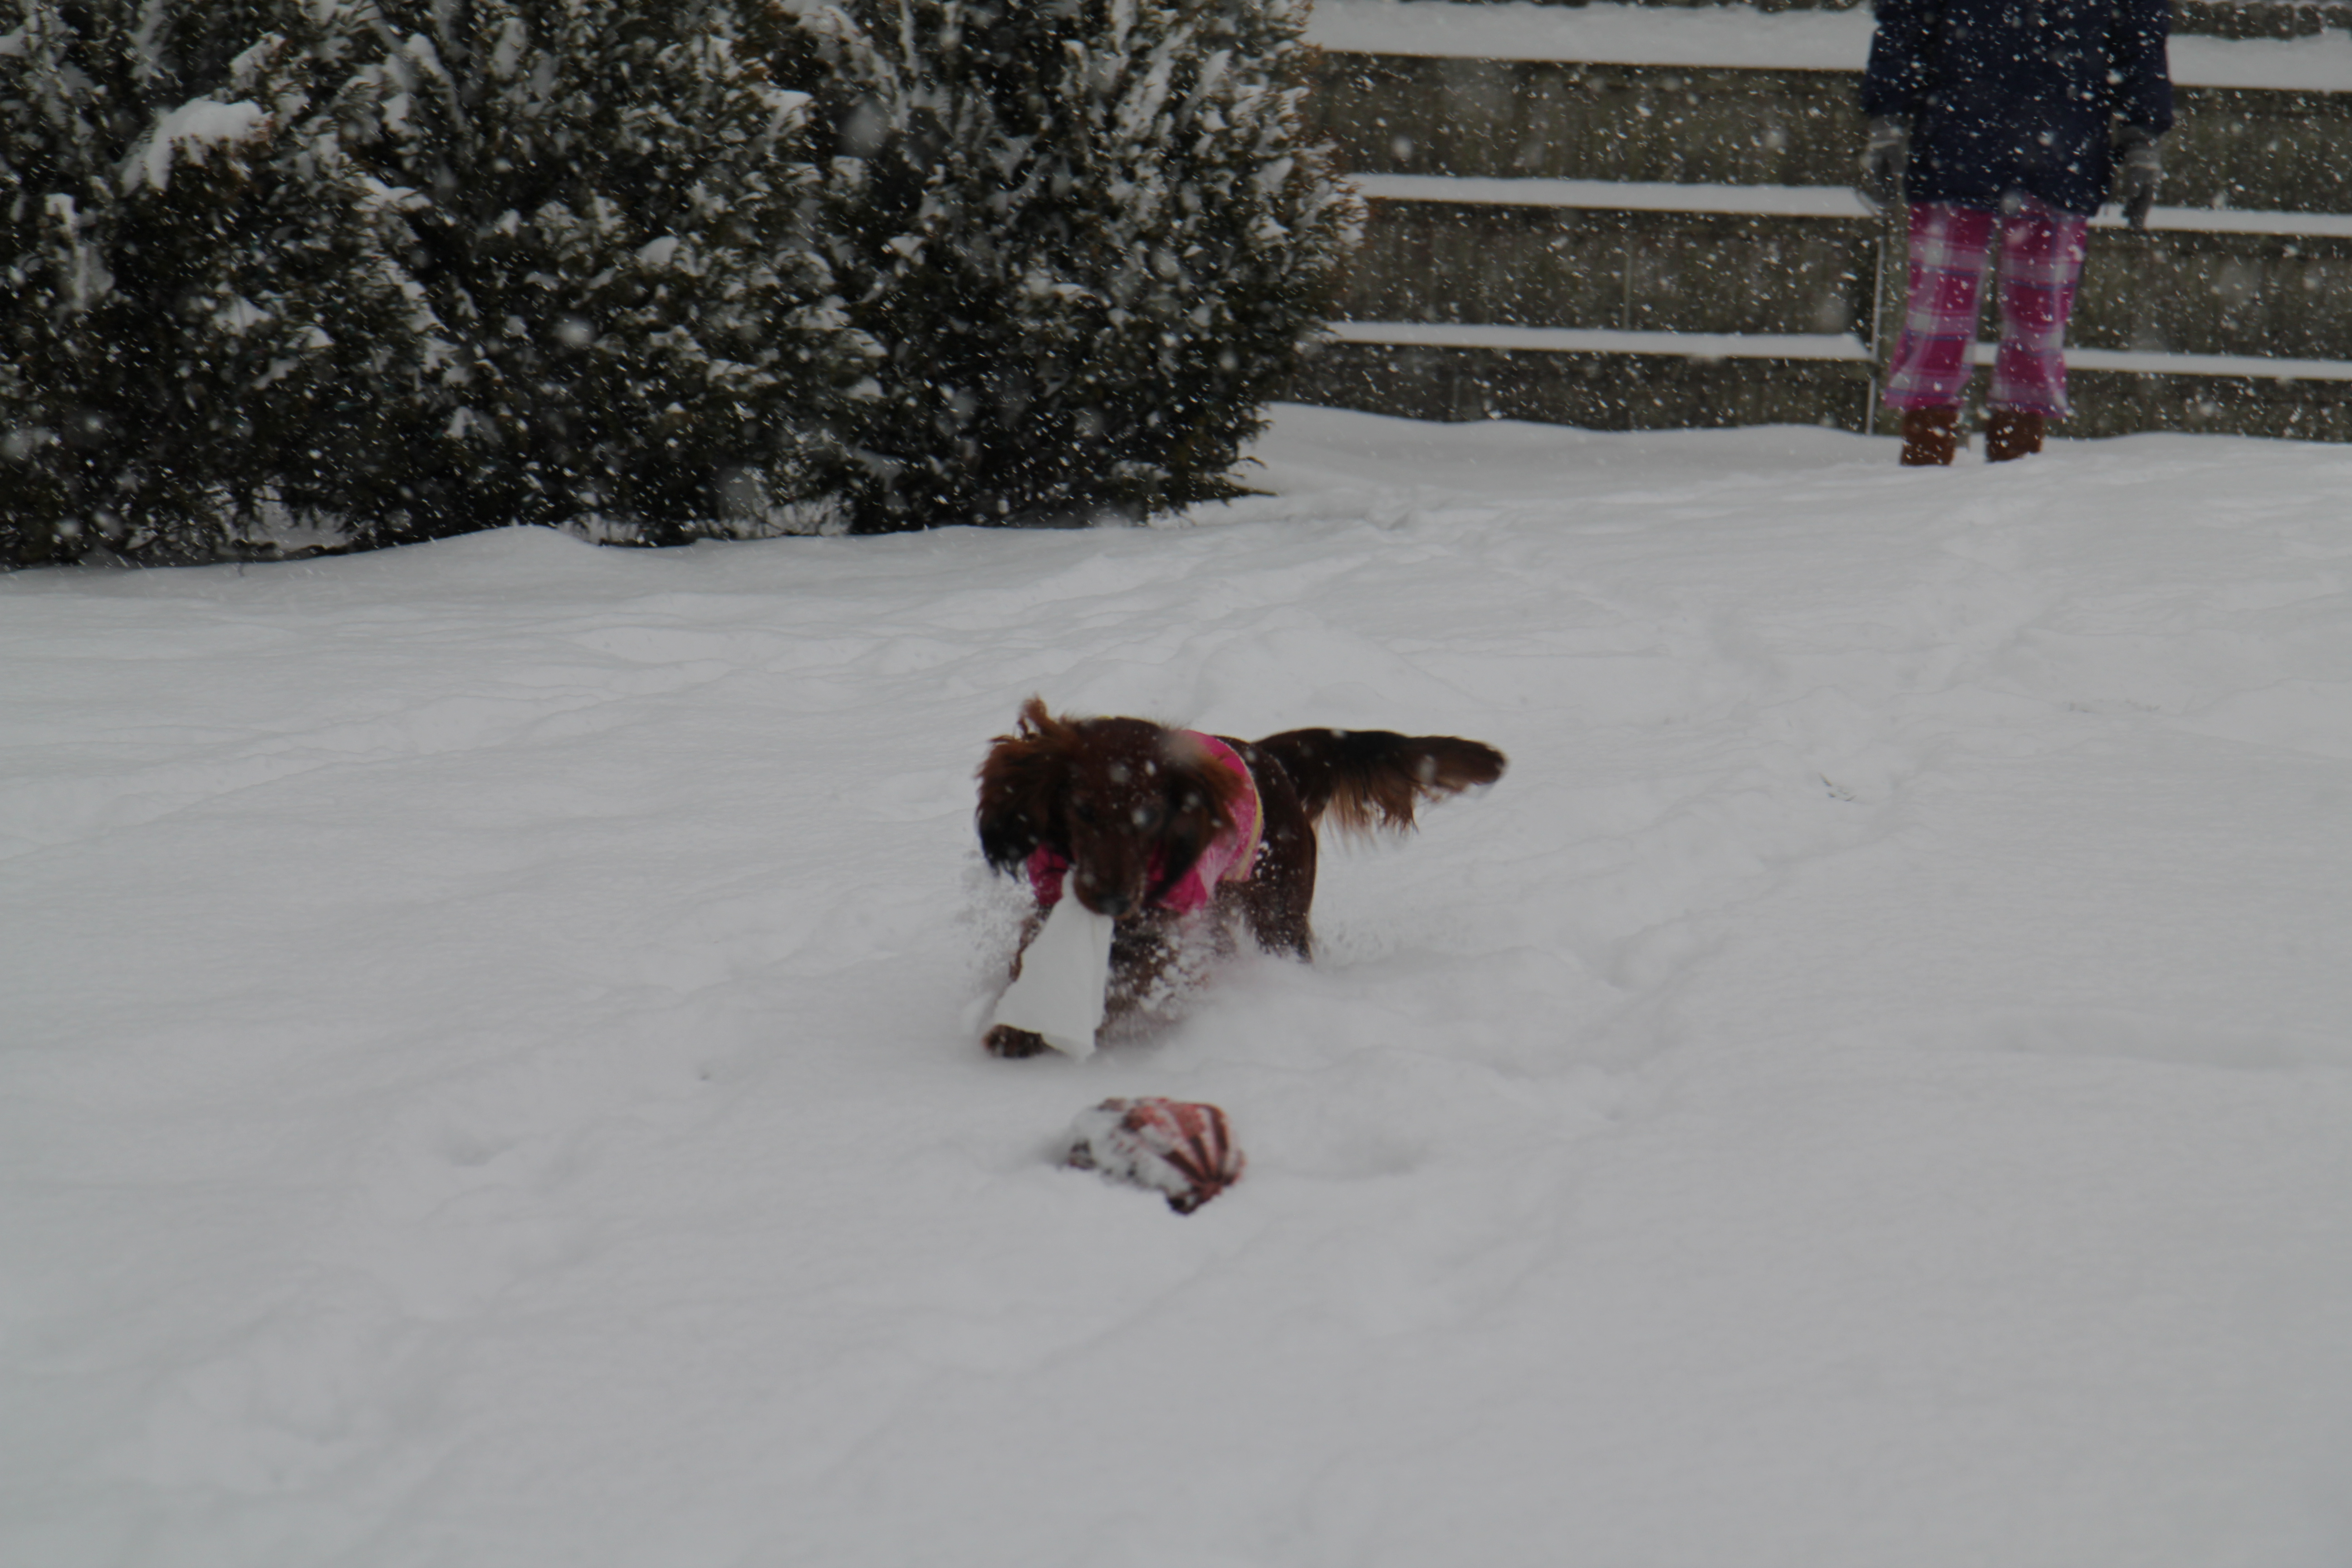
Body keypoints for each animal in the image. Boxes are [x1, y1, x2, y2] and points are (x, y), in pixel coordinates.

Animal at [974, 696, 1507, 1057]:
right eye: (1083, 810)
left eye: (1151, 818)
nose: (1111, 902)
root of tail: (1266, 756)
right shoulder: (1052, 897)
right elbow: (1030, 954)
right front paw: (1017, 1024)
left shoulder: (1170, 921)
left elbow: (1141, 970)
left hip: (1280, 915)